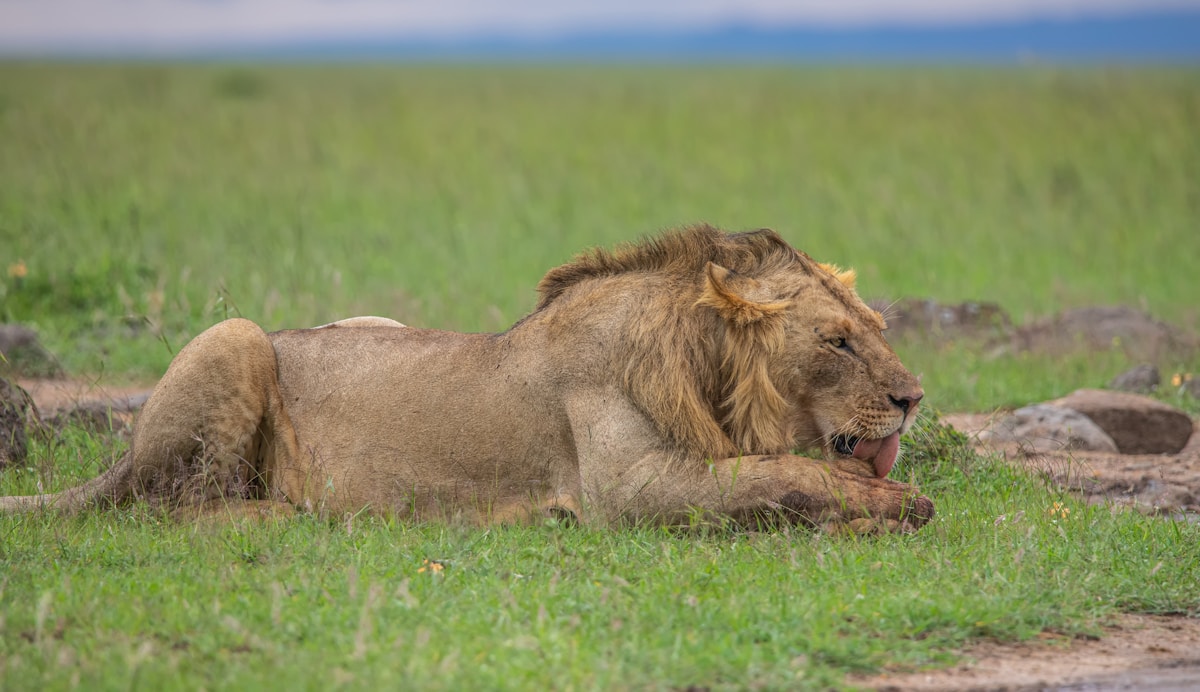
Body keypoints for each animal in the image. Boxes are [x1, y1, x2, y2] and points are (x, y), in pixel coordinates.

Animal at [0, 225, 933, 531]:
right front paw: (885, 502)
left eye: (878, 331)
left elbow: (777, 468)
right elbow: (773, 473)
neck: (705, 370)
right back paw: (296, 511)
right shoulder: (626, 492)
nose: (914, 400)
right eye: (838, 341)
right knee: (179, 506)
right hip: (233, 338)